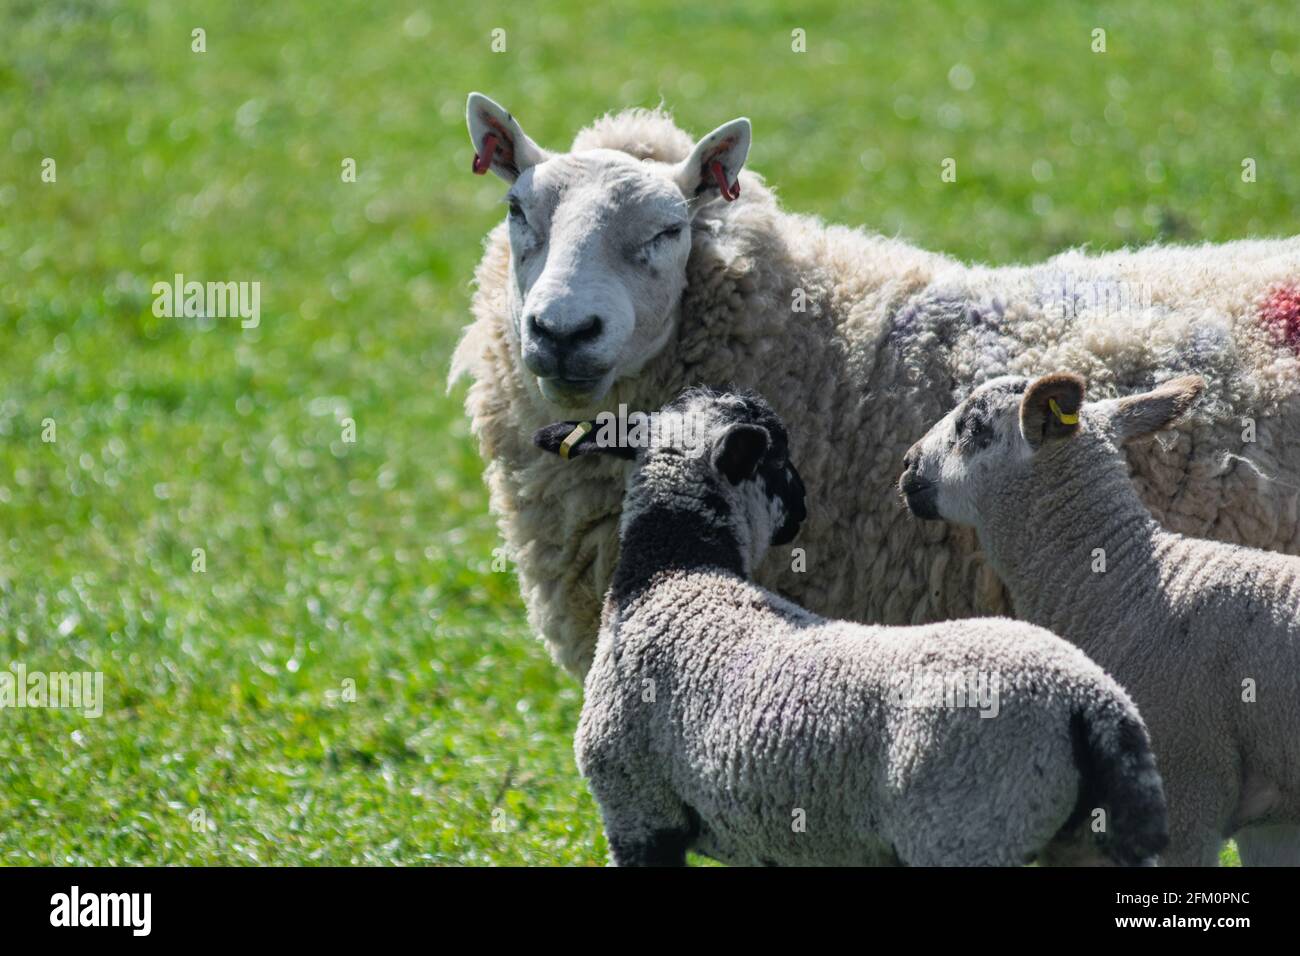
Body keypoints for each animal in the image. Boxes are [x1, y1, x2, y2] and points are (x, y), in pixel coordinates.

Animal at [535, 387, 1170, 868]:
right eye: (779, 455)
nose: (802, 506)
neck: (672, 569)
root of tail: (1089, 701)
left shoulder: (637, 806)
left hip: (965, 827)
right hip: (1078, 838)